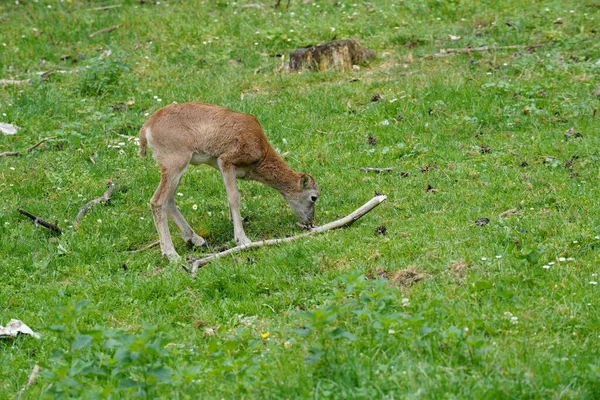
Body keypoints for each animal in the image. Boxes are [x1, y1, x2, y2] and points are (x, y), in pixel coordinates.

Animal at [139, 103, 318, 260]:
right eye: (313, 197)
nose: (310, 222)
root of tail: (146, 128)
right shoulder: (226, 160)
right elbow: (234, 197)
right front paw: (242, 240)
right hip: (175, 165)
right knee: (157, 201)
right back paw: (172, 254)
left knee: (169, 200)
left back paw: (196, 240)